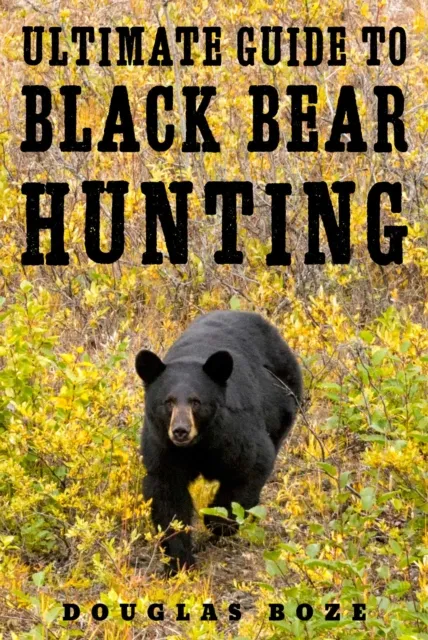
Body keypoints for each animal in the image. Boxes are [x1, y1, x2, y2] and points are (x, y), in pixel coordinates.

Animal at [135, 310, 303, 574]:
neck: (198, 445)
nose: (180, 431)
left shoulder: (234, 432)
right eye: (168, 402)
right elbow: (167, 495)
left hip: (284, 401)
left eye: (196, 402)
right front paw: (179, 561)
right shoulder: (162, 445)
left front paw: (217, 521)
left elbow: (250, 468)